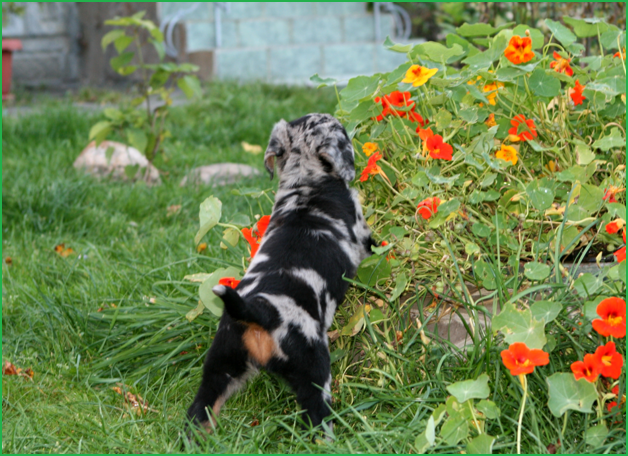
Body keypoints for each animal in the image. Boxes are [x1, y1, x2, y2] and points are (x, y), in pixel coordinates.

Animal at [185, 112, 372, 432]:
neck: (305, 182)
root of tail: (256, 312)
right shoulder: (362, 235)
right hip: (313, 370)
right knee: (317, 418)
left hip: (220, 365)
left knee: (199, 412)